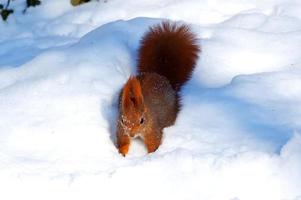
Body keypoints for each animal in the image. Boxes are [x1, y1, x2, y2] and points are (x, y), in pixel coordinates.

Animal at [115, 21, 199, 156]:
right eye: (123, 120)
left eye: (142, 120)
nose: (132, 134)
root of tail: (161, 76)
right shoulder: (121, 129)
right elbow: (122, 141)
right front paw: (122, 153)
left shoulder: (153, 129)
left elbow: (154, 142)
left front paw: (151, 156)